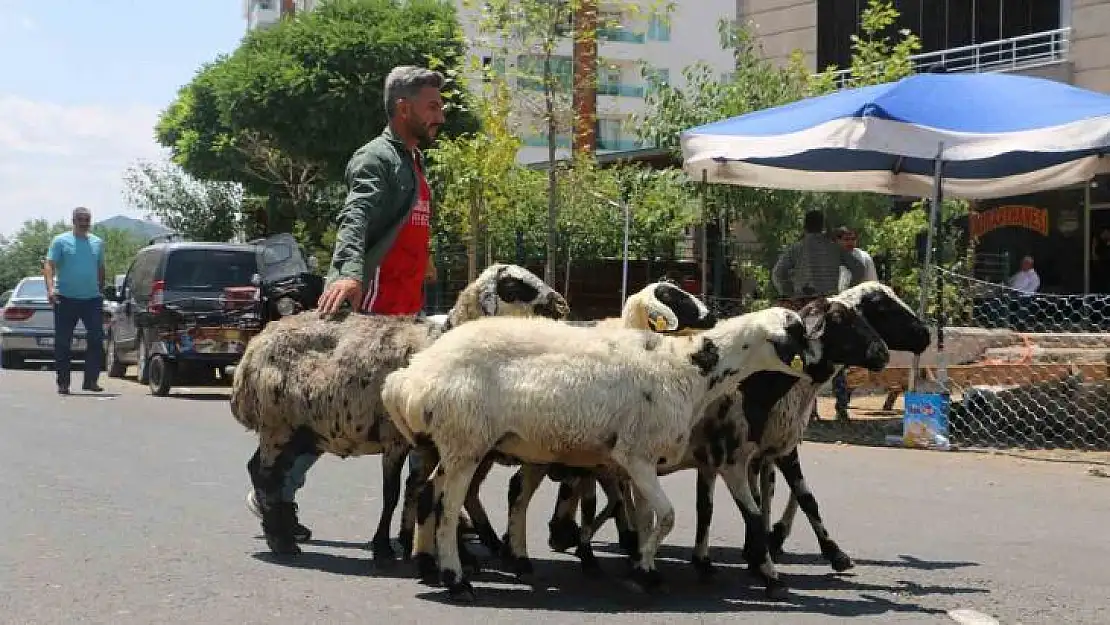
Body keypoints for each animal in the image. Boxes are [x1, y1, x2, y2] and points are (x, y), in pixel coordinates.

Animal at [229, 260, 568, 557]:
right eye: (513, 285)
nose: (561, 305)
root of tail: (249, 355)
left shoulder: (421, 444)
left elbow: (414, 490)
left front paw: (408, 542)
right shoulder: (394, 438)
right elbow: (391, 494)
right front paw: (383, 547)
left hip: (301, 430)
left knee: (269, 473)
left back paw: (283, 531)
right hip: (277, 423)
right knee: (264, 474)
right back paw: (280, 540)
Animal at [381, 306, 856, 603]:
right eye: (797, 332)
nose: (818, 367)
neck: (689, 368)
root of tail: (407, 379)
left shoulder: (641, 463)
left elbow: (646, 517)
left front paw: (644, 567)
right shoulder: (636, 455)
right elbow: (668, 517)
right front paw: (643, 571)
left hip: (455, 445)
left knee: (430, 495)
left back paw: (437, 568)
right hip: (465, 440)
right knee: (447, 508)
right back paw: (456, 580)